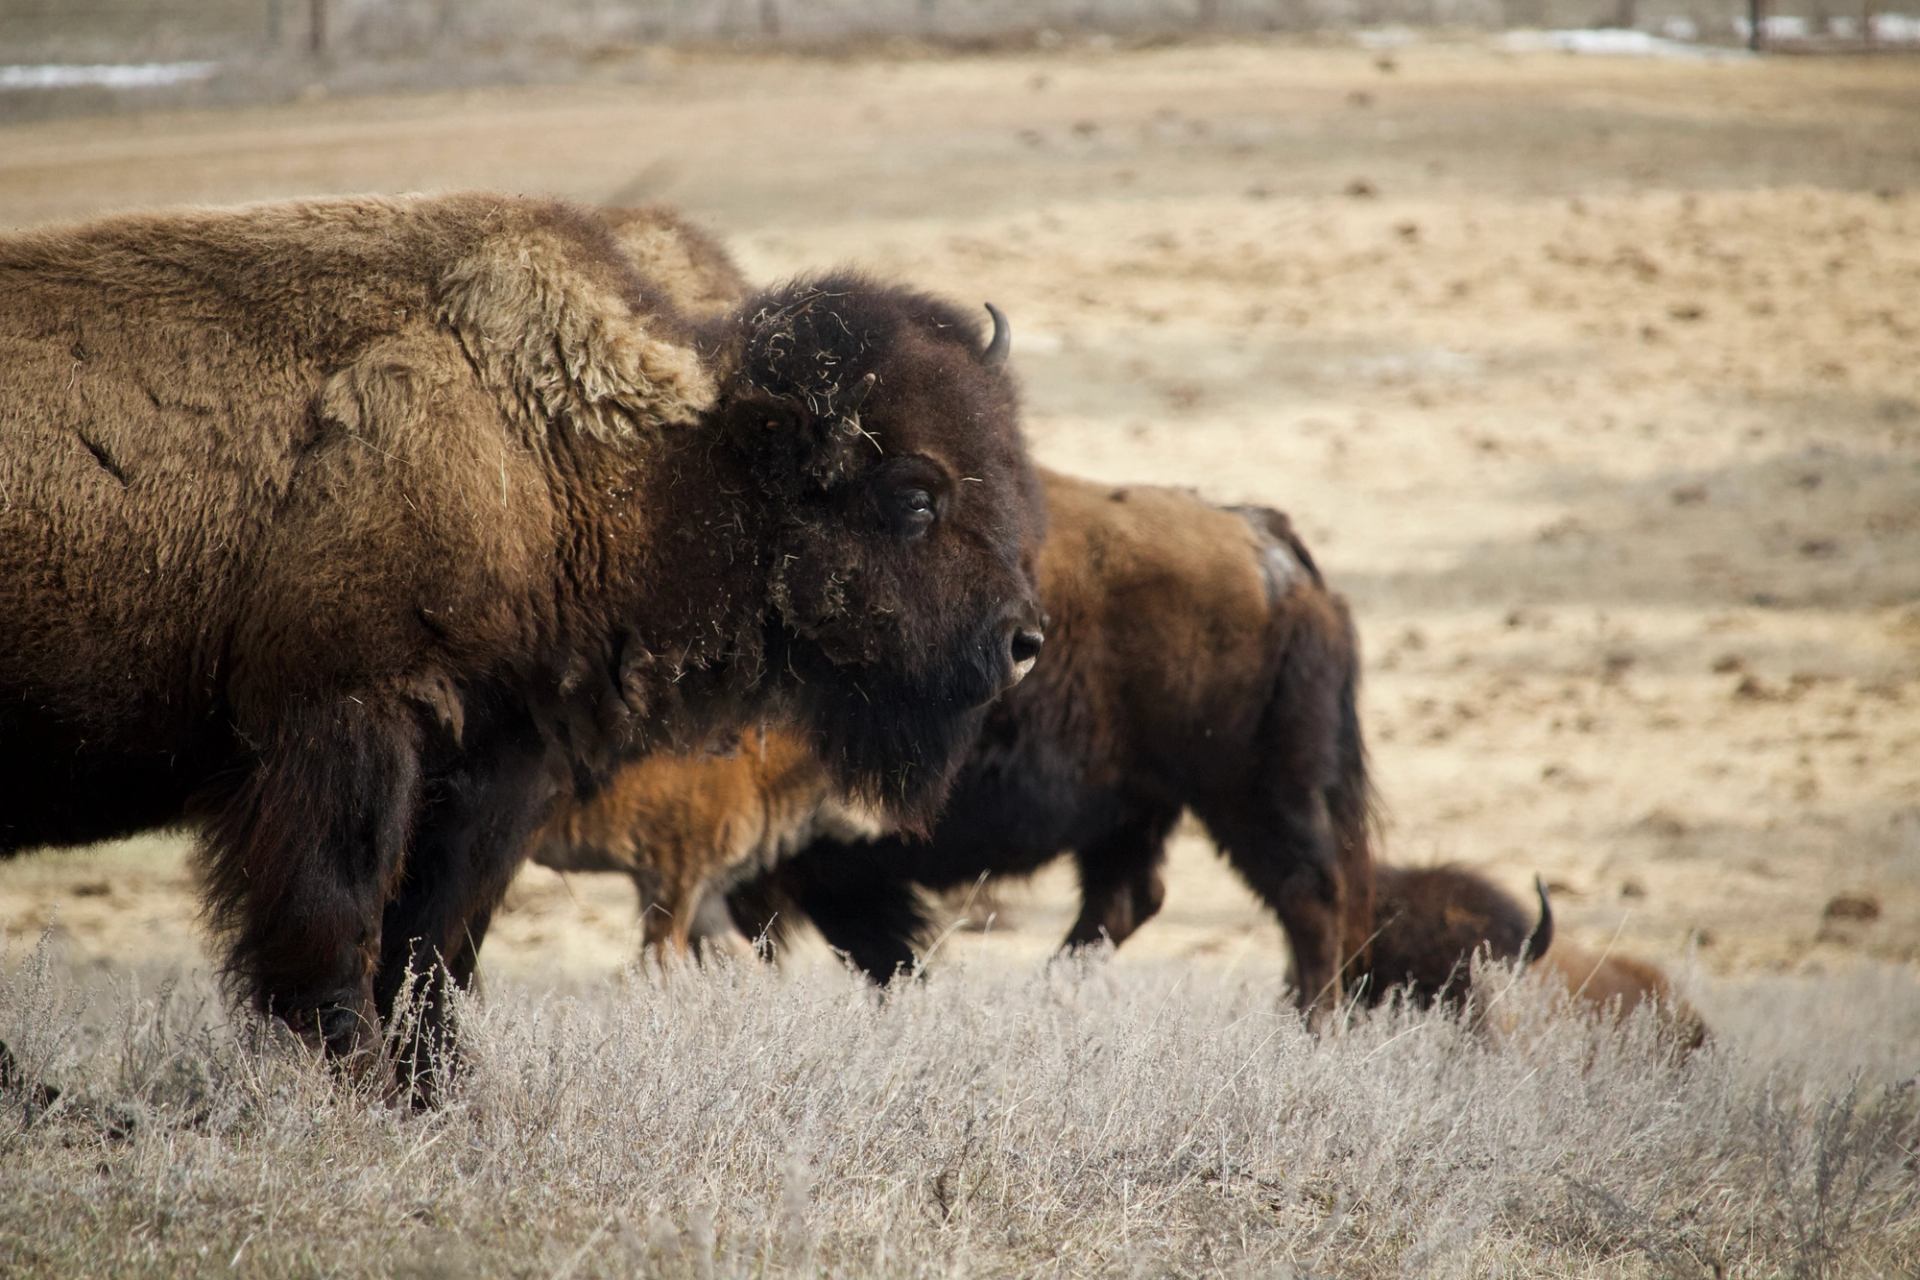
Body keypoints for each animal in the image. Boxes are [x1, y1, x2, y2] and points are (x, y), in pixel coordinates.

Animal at [0, 193, 1045, 1083]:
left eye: (1009, 470)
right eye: (912, 494)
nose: (1024, 640)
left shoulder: (496, 763)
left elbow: (433, 947)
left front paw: (441, 1093)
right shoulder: (339, 730)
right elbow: (336, 923)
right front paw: (358, 1086)